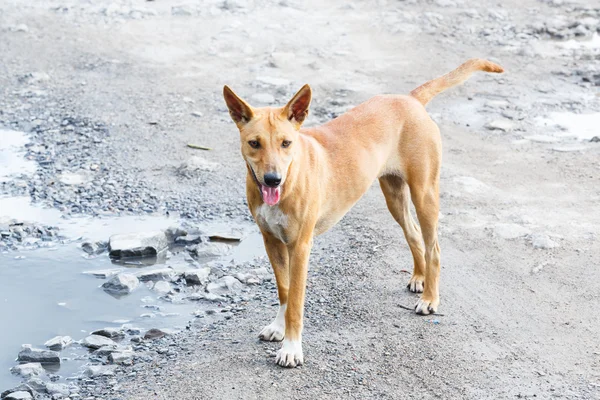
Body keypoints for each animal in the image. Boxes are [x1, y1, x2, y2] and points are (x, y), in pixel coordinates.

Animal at [223, 57, 504, 368]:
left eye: (286, 143)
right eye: (254, 143)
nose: (273, 180)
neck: (291, 176)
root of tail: (409, 99)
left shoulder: (300, 246)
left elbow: (295, 300)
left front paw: (291, 348)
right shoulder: (271, 241)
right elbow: (284, 290)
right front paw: (277, 327)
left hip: (425, 193)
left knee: (434, 248)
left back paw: (430, 298)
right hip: (394, 196)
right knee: (414, 235)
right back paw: (419, 278)